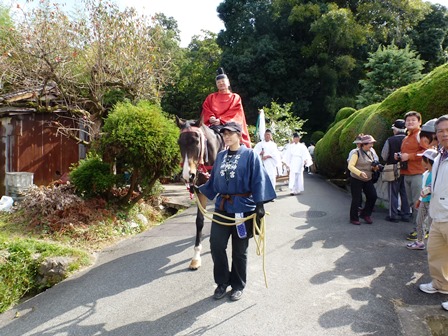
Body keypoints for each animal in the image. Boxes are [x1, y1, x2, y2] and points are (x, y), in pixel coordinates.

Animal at [175, 117, 224, 270]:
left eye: (196, 141)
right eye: (179, 142)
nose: (187, 175)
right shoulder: (200, 189)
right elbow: (199, 221)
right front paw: (196, 257)